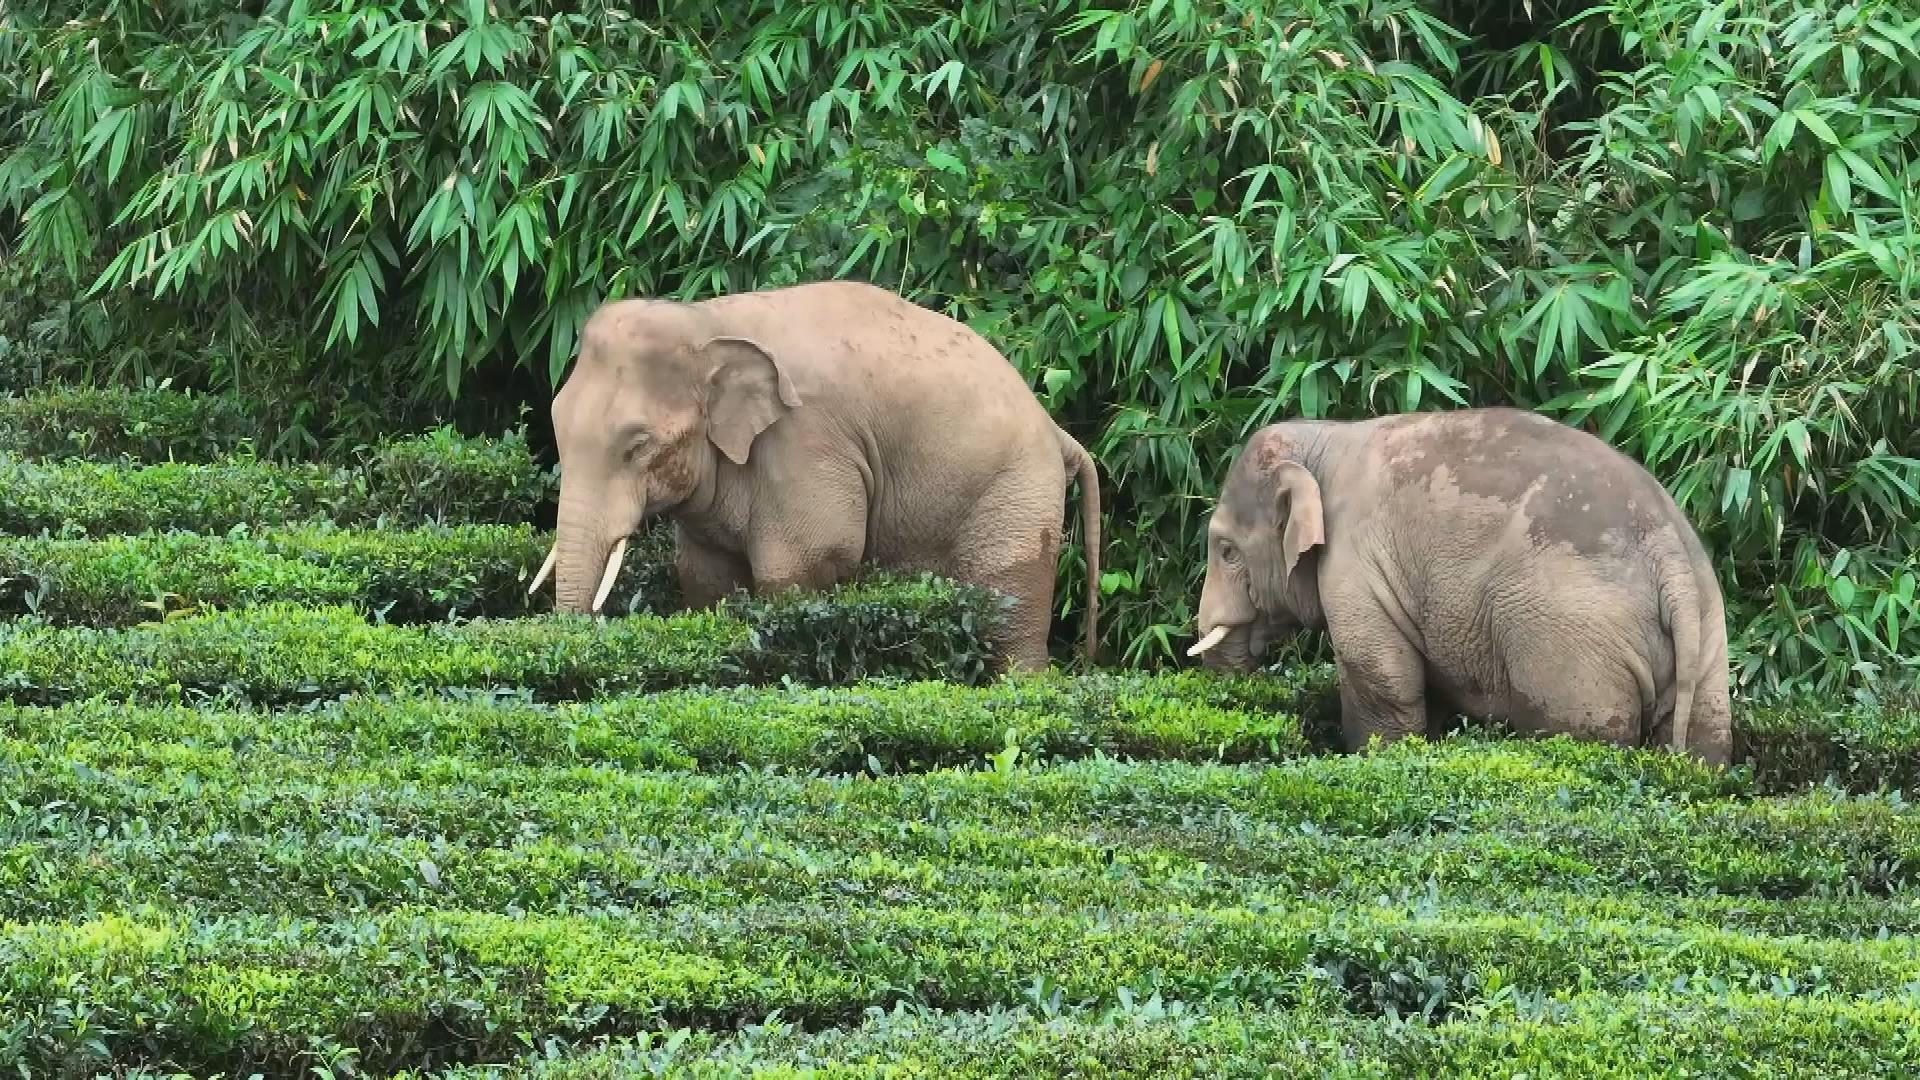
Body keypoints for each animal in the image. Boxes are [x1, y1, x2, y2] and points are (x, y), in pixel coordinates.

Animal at [526, 280, 1101, 671]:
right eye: (555, 420)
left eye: (638, 444)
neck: (707, 320)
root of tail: (1058, 432)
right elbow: (705, 575)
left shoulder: (806, 444)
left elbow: (800, 564)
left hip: (1016, 496)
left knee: (1010, 613)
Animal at [1186, 406, 1733, 765]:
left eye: (1226, 550)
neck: (1326, 436)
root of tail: (1669, 555)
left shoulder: (1357, 563)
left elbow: (1383, 677)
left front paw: (1375, 755)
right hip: (1708, 634)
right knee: (1705, 737)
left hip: (1573, 651)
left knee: (1580, 736)